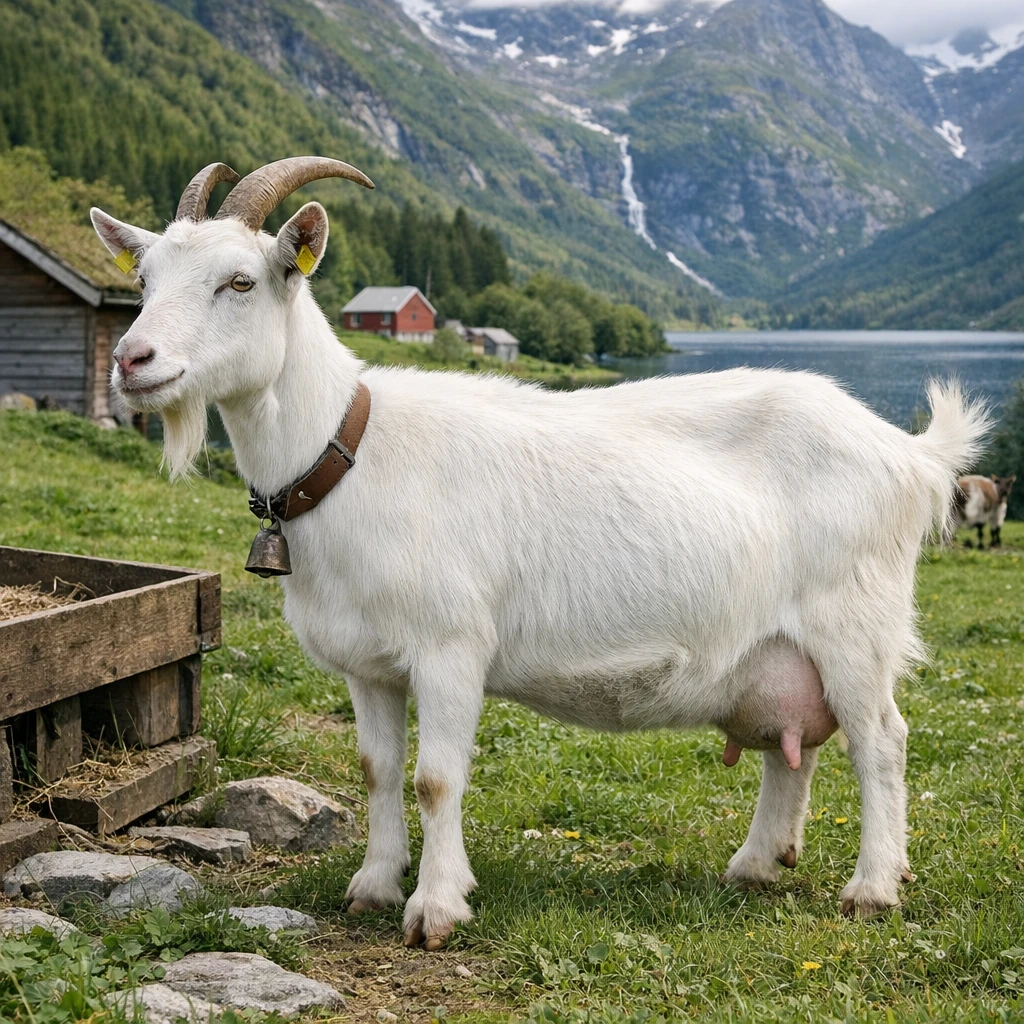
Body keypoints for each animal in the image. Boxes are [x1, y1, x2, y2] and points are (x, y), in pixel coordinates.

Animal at [91, 158, 989, 950]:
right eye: (143, 279)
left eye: (241, 282)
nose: (131, 360)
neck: (348, 452)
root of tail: (909, 453)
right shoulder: (369, 666)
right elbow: (378, 770)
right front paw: (373, 887)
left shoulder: (451, 647)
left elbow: (435, 777)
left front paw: (435, 909)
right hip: (777, 647)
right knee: (791, 747)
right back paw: (755, 865)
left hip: (855, 623)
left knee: (881, 739)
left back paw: (872, 888)